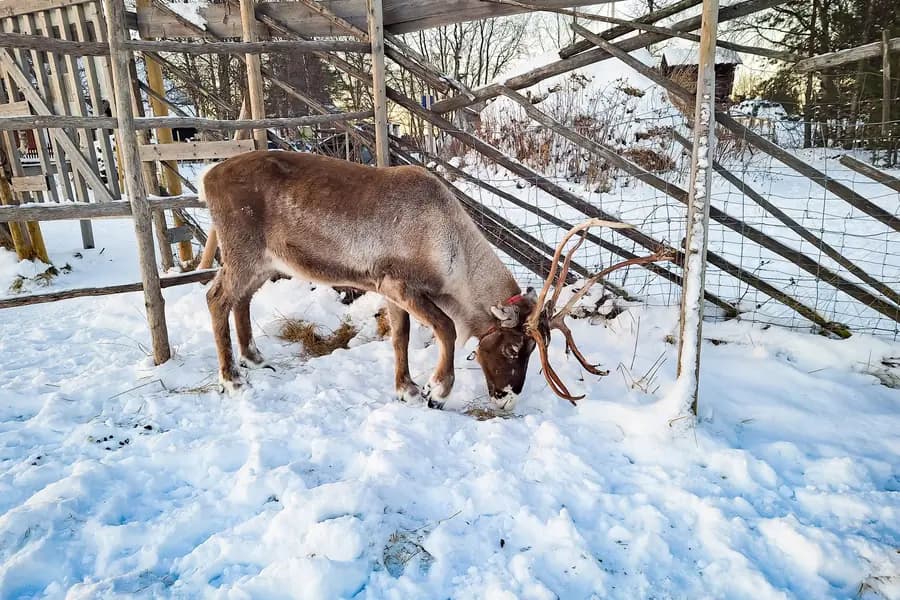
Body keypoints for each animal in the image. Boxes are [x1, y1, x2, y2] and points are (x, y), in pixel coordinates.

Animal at [200, 150, 670, 408]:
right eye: (513, 347)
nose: (507, 396)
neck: (451, 249)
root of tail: (207, 175)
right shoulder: (400, 284)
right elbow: (445, 328)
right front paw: (435, 390)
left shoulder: (387, 288)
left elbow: (401, 337)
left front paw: (405, 387)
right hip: (243, 252)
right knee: (216, 296)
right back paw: (231, 378)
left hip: (264, 262)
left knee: (241, 299)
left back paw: (254, 357)